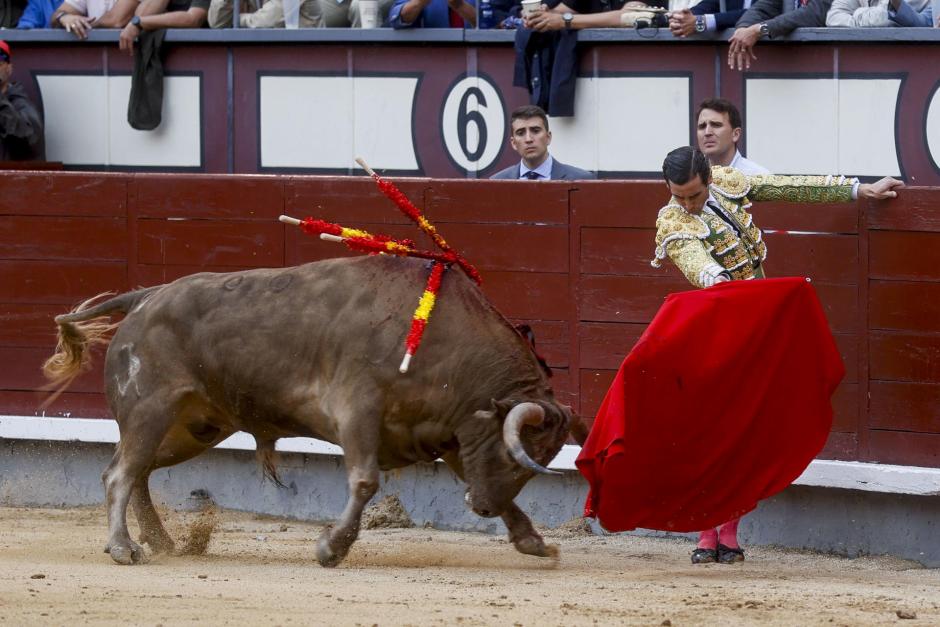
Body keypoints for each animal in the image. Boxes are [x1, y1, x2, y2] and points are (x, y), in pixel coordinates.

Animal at [47, 255, 588, 568]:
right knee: (119, 474)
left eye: (533, 465)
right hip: (151, 410)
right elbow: (364, 481)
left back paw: (157, 540)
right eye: (515, 455)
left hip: (191, 428)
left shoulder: (452, 435)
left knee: (136, 471)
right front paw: (332, 548)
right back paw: (124, 548)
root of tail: (147, 296)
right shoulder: (359, 409)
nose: (483, 509)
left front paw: (534, 541)